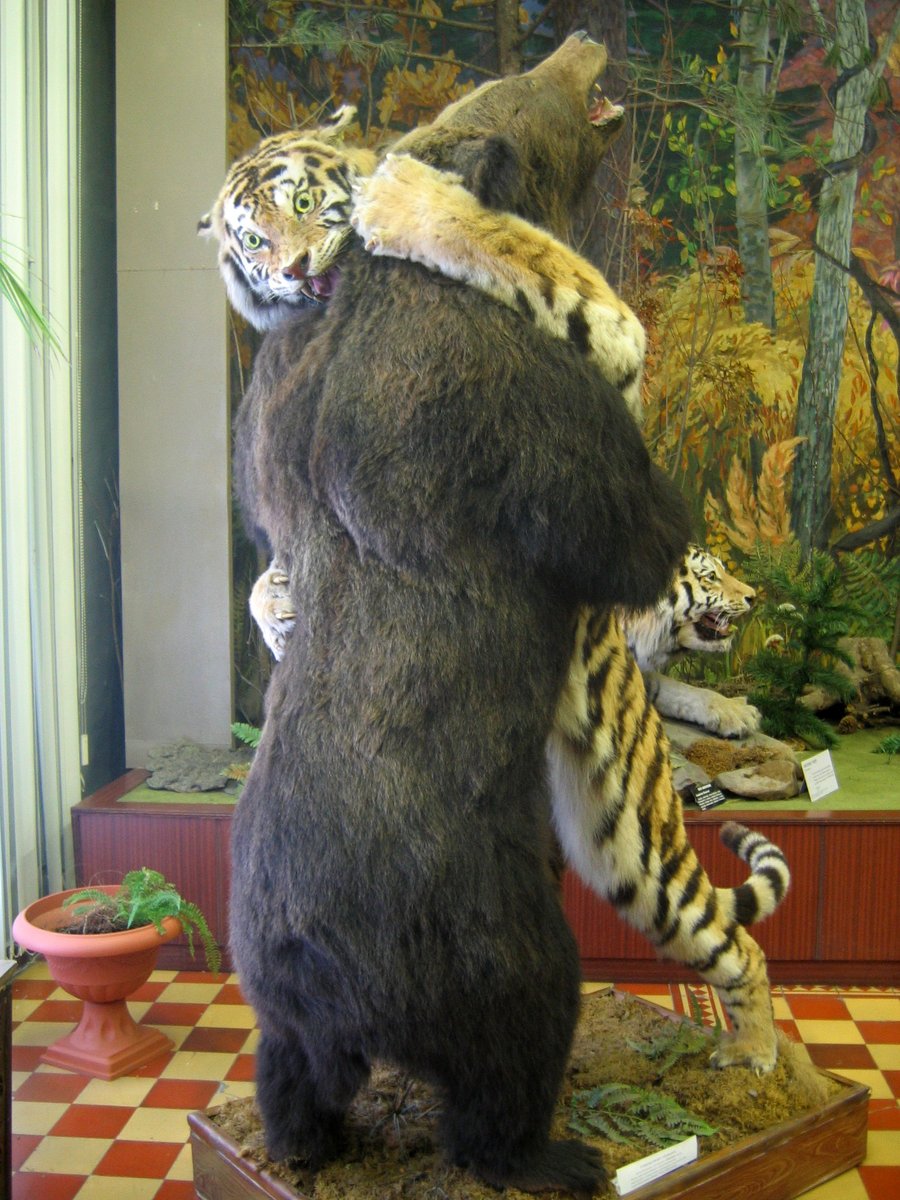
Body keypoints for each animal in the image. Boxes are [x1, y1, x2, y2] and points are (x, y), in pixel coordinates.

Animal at [204, 113, 788, 1070]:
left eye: (301, 201)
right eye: (251, 239)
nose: (291, 270)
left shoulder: (611, 343)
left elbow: (519, 247)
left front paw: (402, 196)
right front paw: (280, 611)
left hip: (639, 842)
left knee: (736, 942)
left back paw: (758, 1056)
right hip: (610, 845)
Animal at [230, 33, 692, 1195]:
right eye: (532, 90)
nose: (582, 41)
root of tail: (338, 985)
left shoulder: (286, 410)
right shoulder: (501, 393)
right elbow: (616, 520)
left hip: (270, 966)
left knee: (285, 1060)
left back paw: (301, 1141)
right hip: (475, 922)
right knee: (517, 1037)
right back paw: (557, 1151)